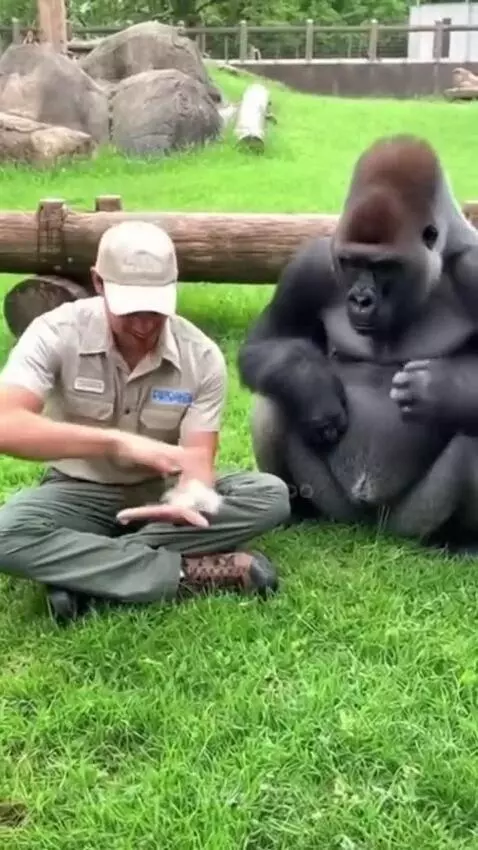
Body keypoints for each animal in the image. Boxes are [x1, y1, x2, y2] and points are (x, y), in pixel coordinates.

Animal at [237, 134, 478, 554]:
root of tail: (367, 526)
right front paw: (311, 385)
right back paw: (296, 510)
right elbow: (267, 343)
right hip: (335, 506)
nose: (361, 299)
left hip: (409, 522)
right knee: (273, 398)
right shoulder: (311, 264)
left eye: (384, 266)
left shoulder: (476, 270)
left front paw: (438, 389)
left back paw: (461, 540)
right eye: (351, 262)